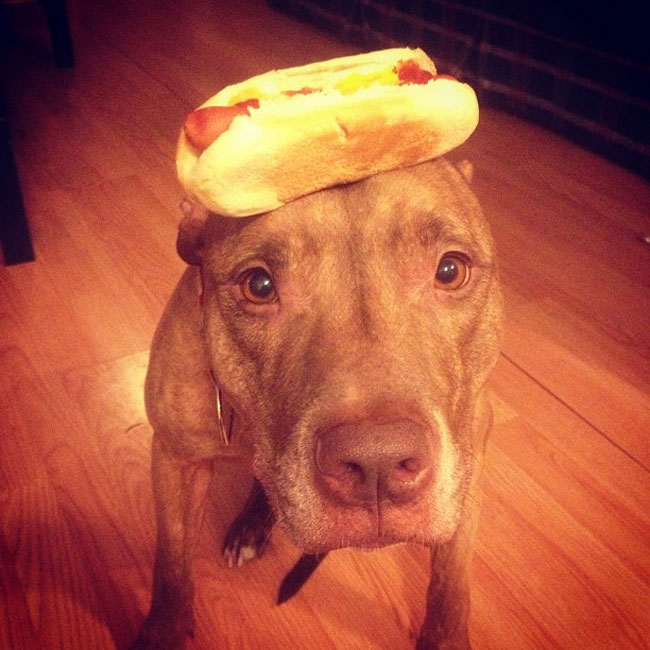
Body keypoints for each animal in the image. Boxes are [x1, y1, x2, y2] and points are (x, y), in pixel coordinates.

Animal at [130, 158, 502, 648]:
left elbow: (451, 584)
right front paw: (163, 631)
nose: (378, 463)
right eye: (259, 284)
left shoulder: (467, 475)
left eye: (449, 271)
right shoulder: (176, 459)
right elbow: (172, 561)